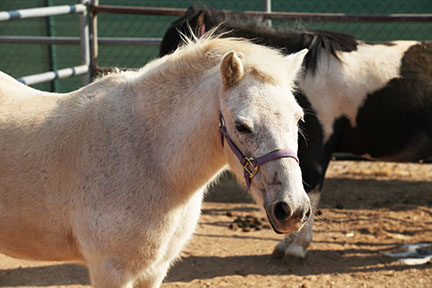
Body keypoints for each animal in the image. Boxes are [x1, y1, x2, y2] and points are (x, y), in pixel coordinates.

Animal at [0, 35, 310, 286]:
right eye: (242, 126)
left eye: (298, 118)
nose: (292, 209)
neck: (150, 158)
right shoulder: (110, 271)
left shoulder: (154, 270)